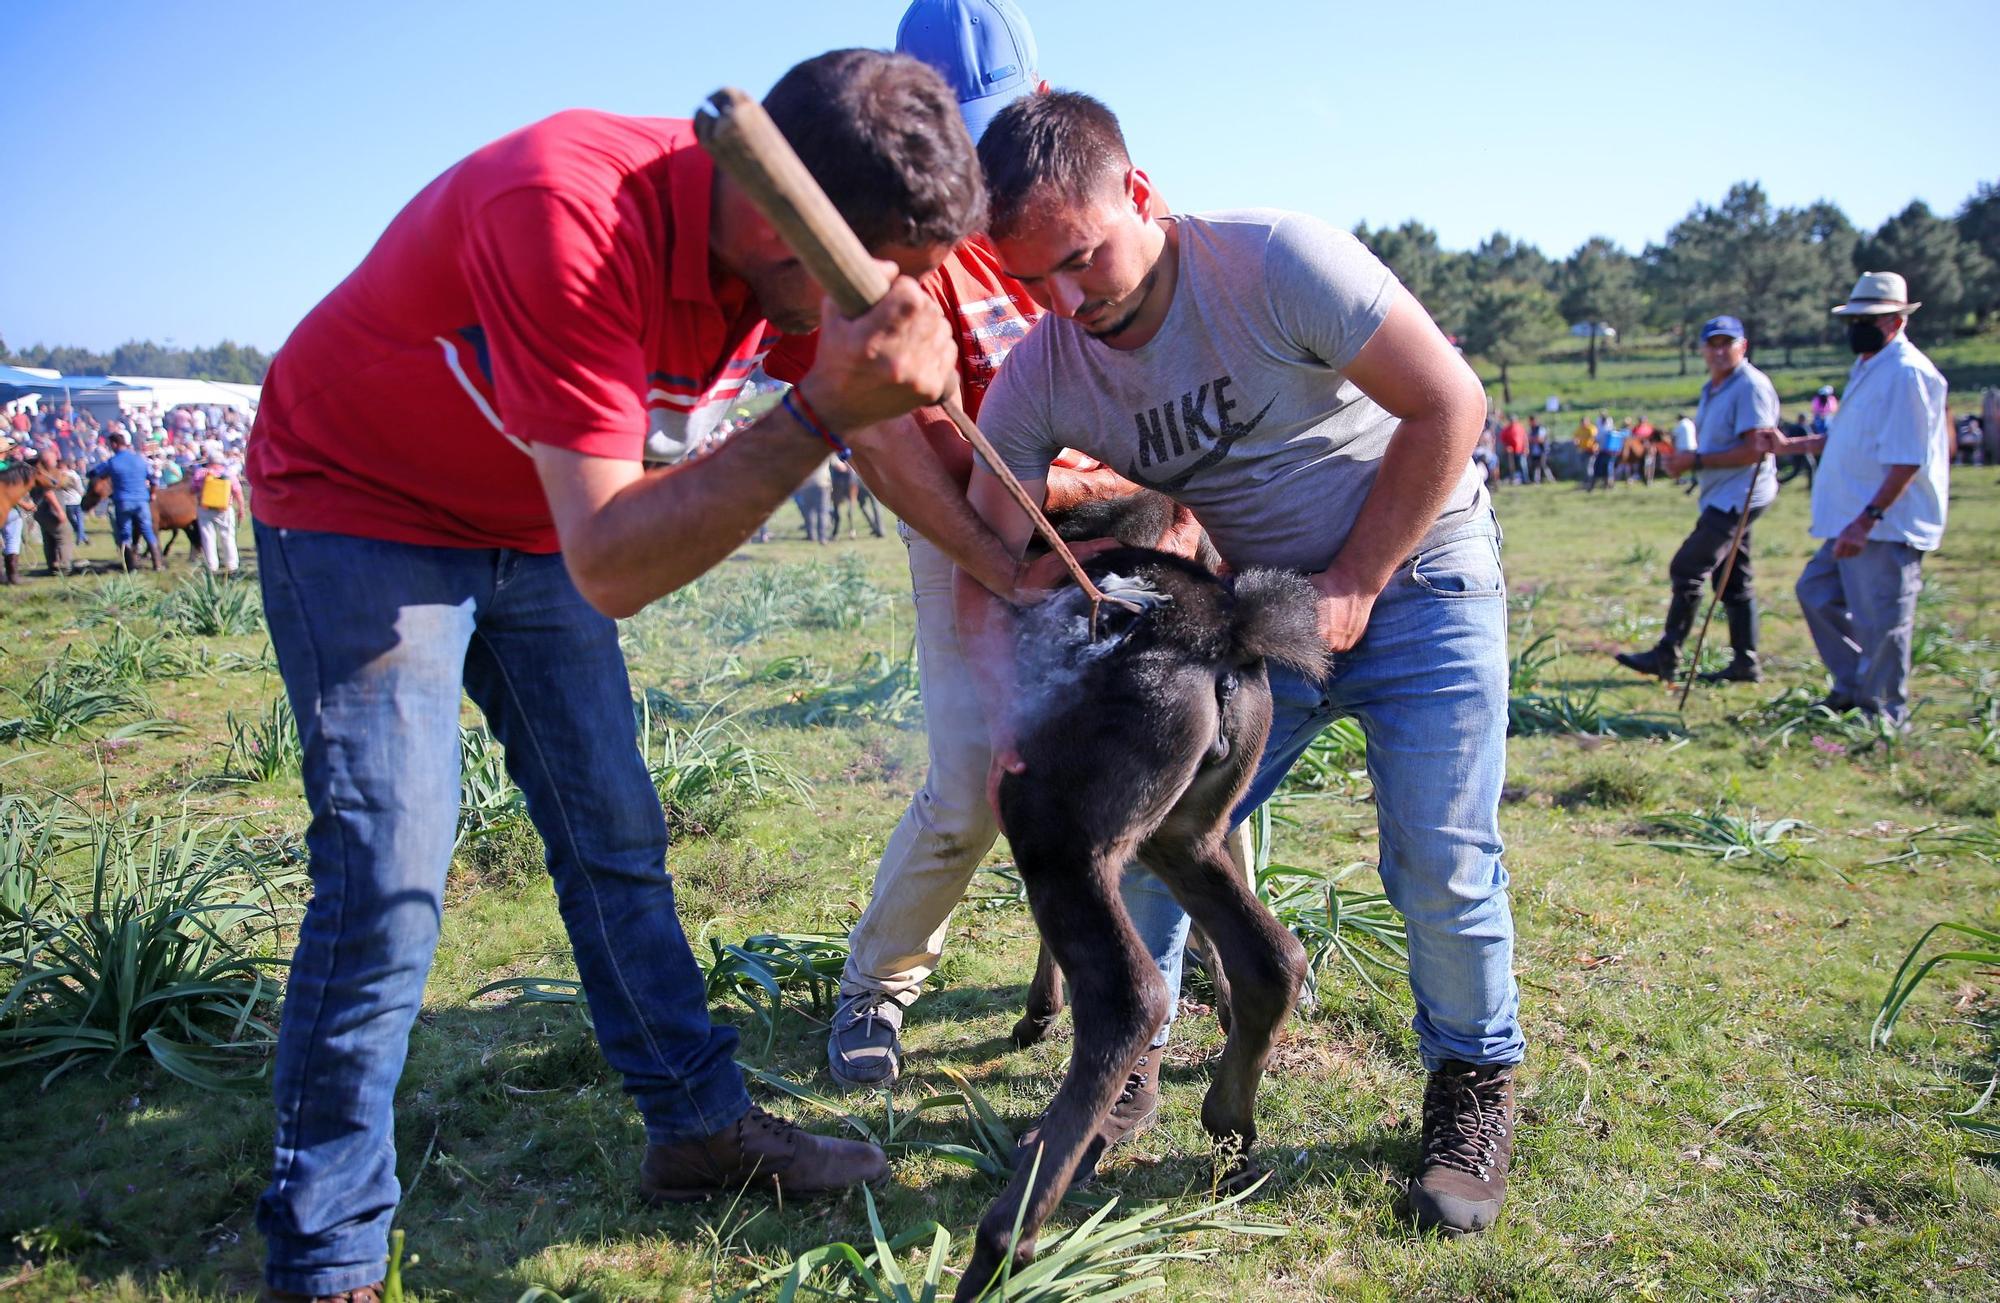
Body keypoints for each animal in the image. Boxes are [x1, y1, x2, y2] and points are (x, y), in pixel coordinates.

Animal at [964, 493, 1336, 1295]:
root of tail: (1226, 632)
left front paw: (1037, 1013)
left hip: (1063, 834)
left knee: (1130, 996)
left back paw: (1003, 1243)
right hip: (1183, 832)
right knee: (1273, 957)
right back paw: (1232, 1135)